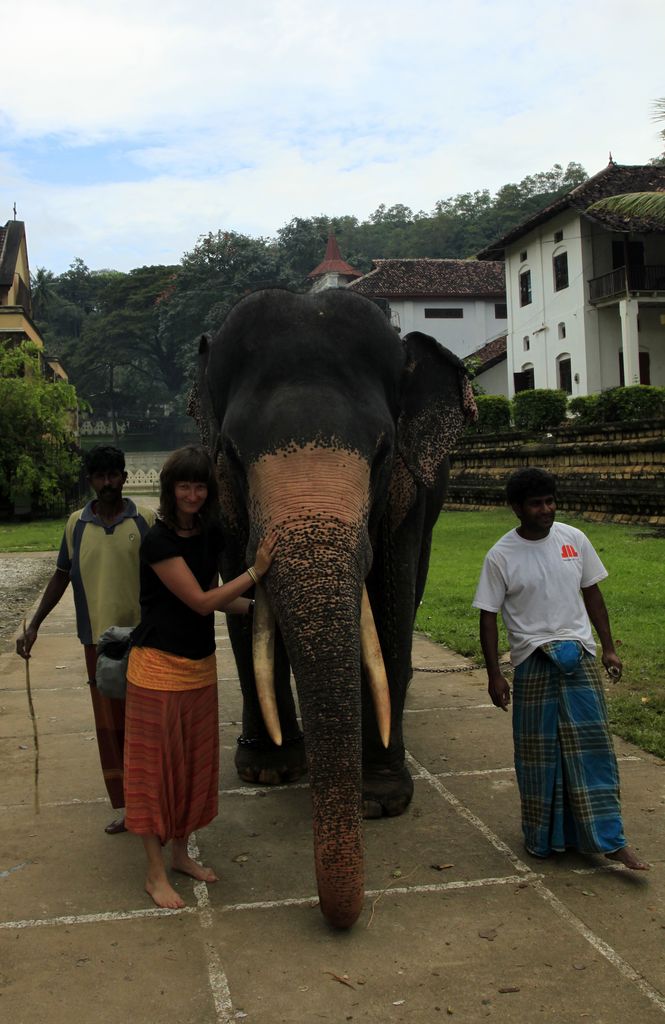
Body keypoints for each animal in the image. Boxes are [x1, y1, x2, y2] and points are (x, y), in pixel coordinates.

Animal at [189, 286, 475, 929]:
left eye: (383, 451)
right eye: (233, 455)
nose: (343, 917)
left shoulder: (408, 495)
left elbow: (391, 596)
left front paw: (382, 798)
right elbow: (240, 600)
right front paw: (270, 771)